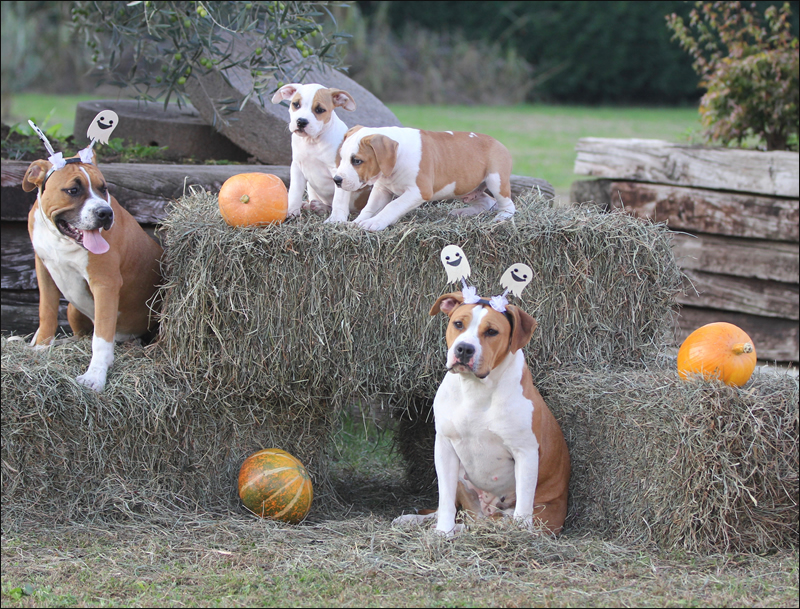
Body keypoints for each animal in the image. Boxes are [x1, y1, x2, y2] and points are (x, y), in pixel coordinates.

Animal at [270, 83, 368, 218]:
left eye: (320, 110)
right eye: (296, 104)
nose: (301, 121)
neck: (312, 141)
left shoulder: (339, 172)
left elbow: (339, 198)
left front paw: (336, 218)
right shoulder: (297, 167)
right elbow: (295, 191)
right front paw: (291, 211)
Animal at [332, 127, 516, 232]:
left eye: (357, 161)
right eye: (341, 157)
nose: (336, 180)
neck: (398, 156)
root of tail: (499, 142)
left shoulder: (418, 191)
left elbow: (392, 206)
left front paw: (374, 223)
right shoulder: (381, 190)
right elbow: (369, 208)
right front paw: (357, 222)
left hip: (496, 181)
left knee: (508, 205)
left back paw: (501, 218)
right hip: (464, 188)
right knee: (487, 201)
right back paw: (462, 212)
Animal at [394, 292, 568, 536]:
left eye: (492, 331)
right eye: (458, 324)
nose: (464, 349)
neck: (475, 389)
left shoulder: (525, 452)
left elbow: (523, 508)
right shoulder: (444, 446)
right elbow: (445, 501)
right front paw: (442, 532)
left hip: (542, 514)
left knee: (493, 521)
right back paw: (415, 520)